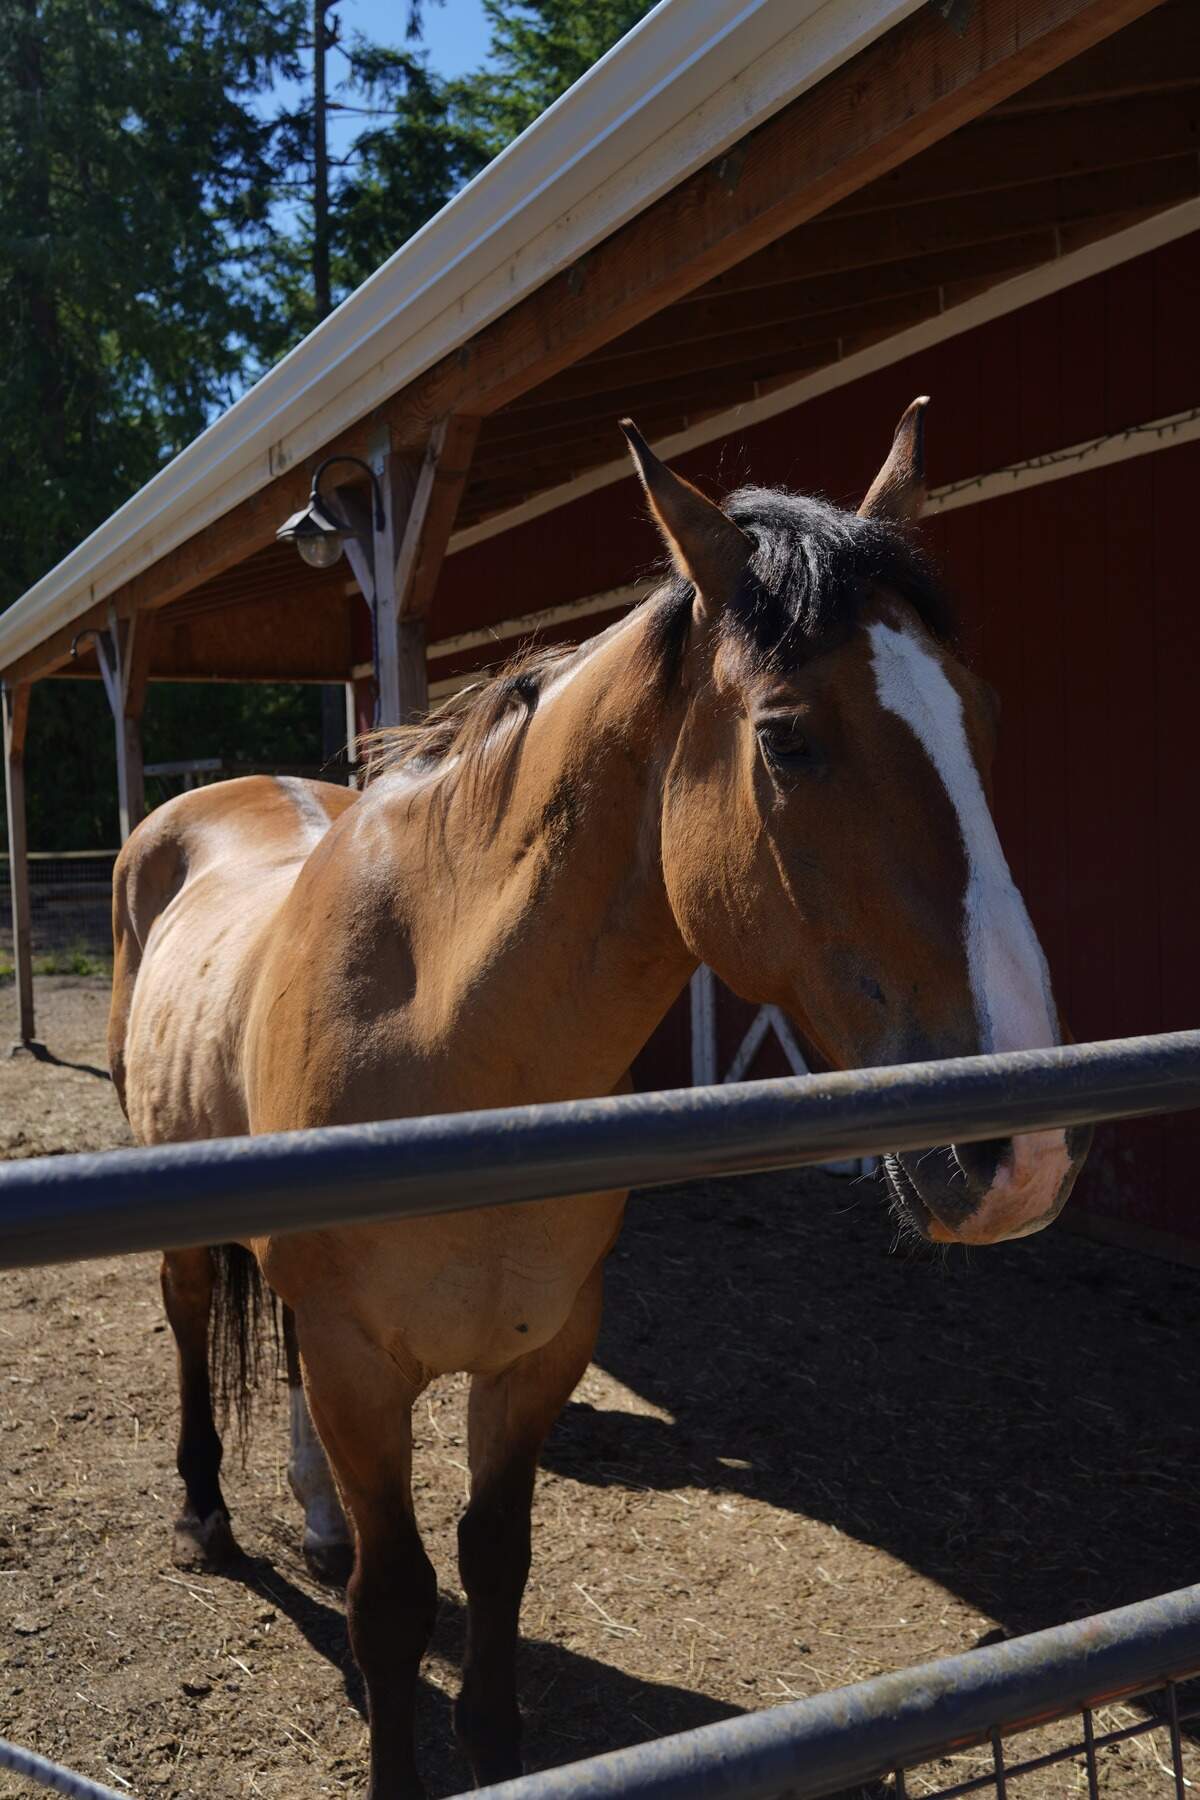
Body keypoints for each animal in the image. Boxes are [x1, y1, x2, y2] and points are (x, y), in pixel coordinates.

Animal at [108, 400, 1089, 1798]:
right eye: (788, 737)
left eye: (985, 717)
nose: (1027, 1153)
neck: (451, 1047)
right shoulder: (364, 1364)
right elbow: (396, 1606)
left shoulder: (539, 1352)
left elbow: (494, 1562)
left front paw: (495, 1743)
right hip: (189, 1229)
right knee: (193, 1325)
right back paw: (205, 1515)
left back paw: (315, 1519)